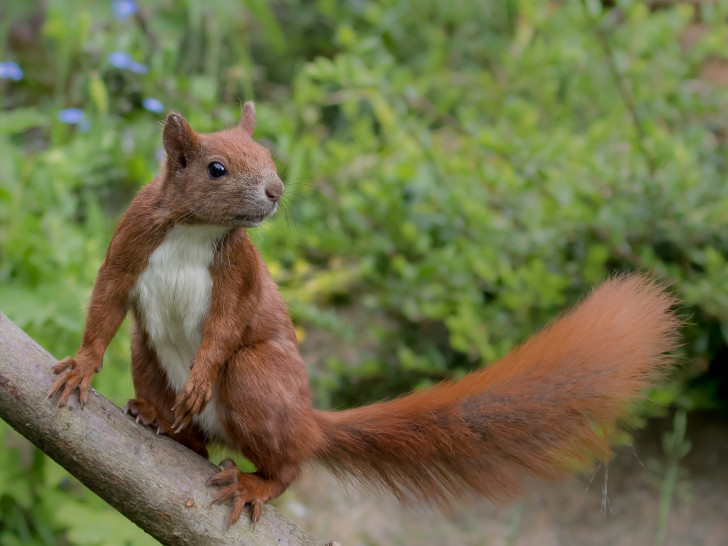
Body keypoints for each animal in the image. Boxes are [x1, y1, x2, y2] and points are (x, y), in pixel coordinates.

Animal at [48, 101, 680, 524]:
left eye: (270, 155)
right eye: (216, 168)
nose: (276, 191)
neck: (195, 231)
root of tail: (308, 421)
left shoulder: (240, 276)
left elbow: (227, 326)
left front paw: (201, 374)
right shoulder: (132, 240)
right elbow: (106, 302)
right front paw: (80, 368)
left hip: (257, 379)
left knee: (288, 464)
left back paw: (253, 483)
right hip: (147, 353)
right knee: (182, 414)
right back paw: (160, 417)